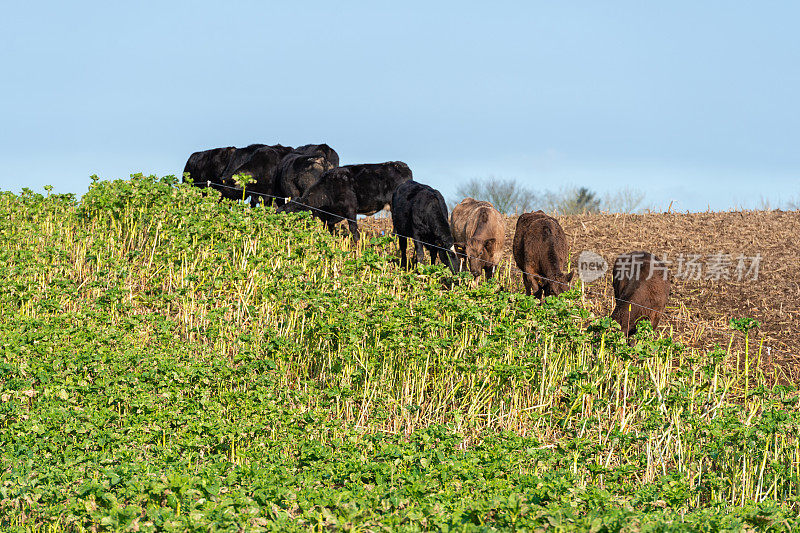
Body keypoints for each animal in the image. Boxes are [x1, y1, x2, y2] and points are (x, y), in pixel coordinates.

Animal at [276, 160, 412, 239]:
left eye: (293, 214)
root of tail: (401, 165)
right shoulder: (329, 217)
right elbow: (330, 229)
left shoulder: (350, 208)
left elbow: (353, 229)